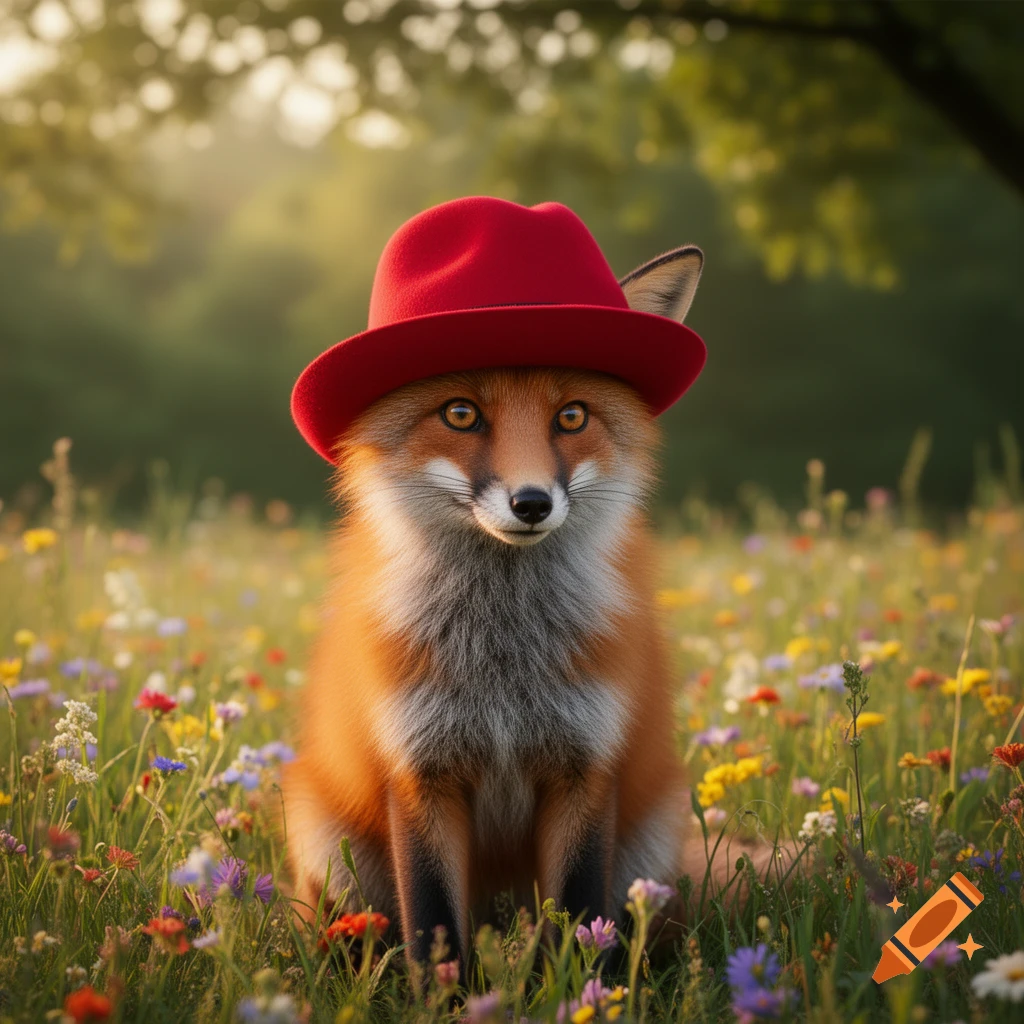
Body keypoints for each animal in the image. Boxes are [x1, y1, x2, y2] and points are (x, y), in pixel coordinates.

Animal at [282, 243, 779, 966]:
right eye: (461, 413)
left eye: (571, 416)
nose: (532, 503)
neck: (503, 661)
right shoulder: (419, 772)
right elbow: (435, 935)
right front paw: (450, 992)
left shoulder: (585, 767)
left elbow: (578, 919)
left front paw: (584, 986)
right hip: (329, 848)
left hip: (651, 839)